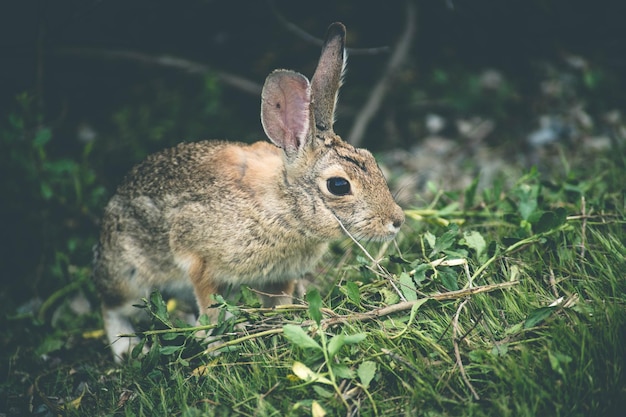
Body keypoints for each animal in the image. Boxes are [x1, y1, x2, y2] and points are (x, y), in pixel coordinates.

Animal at [92, 22, 404, 360]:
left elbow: (279, 303)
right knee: (112, 307)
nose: (396, 220)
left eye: (371, 158)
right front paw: (215, 347)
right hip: (132, 277)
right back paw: (126, 349)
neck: (285, 206)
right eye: (338, 185)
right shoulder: (200, 263)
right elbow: (210, 308)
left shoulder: (279, 277)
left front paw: (284, 327)